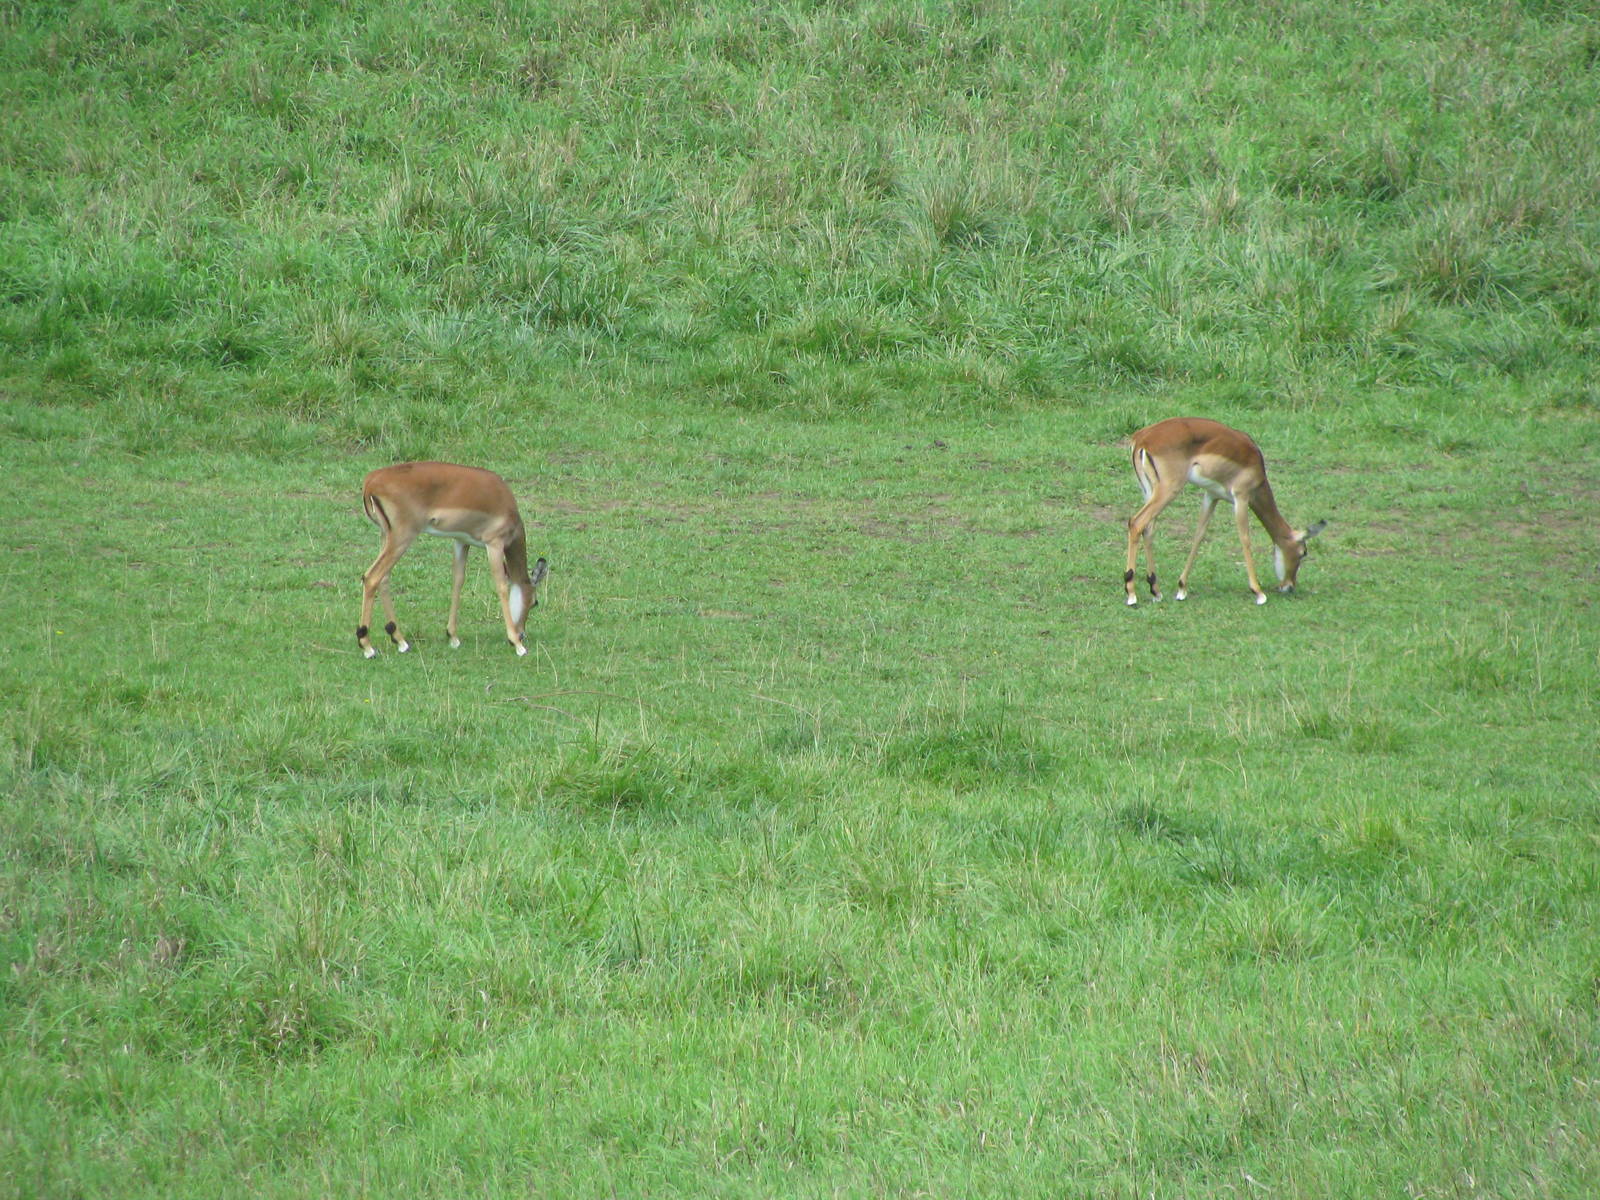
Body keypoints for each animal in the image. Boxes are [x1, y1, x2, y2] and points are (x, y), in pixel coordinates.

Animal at [358, 462, 548, 656]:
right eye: (535, 602)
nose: (521, 633)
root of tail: (371, 481)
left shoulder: (461, 541)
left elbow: (458, 581)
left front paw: (453, 637)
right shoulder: (494, 544)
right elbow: (501, 586)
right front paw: (517, 645)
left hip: (386, 537)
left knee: (384, 579)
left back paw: (400, 641)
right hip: (402, 538)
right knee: (371, 577)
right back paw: (367, 646)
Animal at [1124, 418, 1326, 606]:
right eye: (1303, 552)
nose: (1289, 586)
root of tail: (1141, 438)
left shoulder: (1211, 496)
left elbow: (1199, 535)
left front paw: (1182, 588)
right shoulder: (1241, 498)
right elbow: (1245, 538)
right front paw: (1258, 592)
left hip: (1149, 491)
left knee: (1148, 528)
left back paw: (1156, 591)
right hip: (1168, 490)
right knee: (1136, 522)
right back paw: (1131, 594)